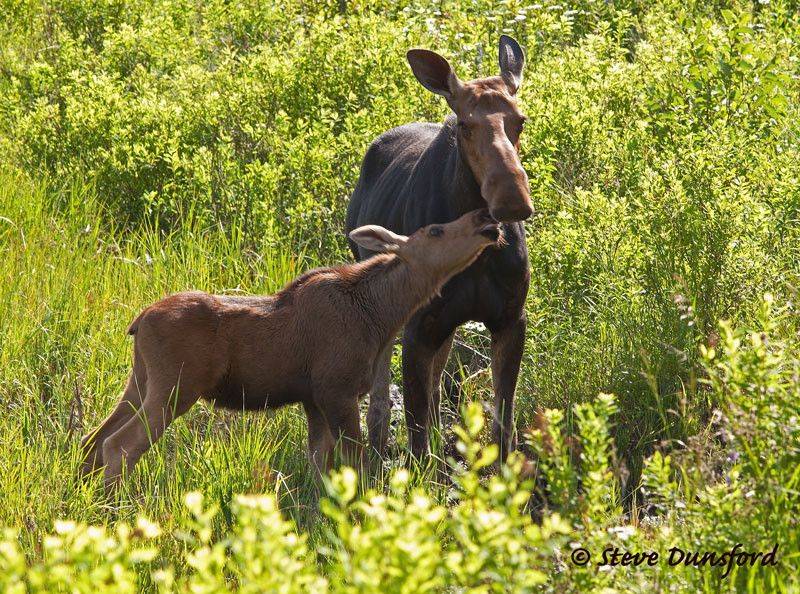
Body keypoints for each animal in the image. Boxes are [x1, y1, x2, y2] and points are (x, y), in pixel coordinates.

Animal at [81, 208, 500, 486]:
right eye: (436, 230)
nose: (485, 218)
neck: (381, 315)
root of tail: (138, 321)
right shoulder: (336, 390)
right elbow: (356, 464)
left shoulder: (313, 400)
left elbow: (320, 466)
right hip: (175, 387)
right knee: (120, 445)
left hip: (141, 381)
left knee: (93, 438)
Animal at [344, 37, 532, 460]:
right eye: (464, 124)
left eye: (520, 120)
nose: (512, 200)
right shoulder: (418, 329)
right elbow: (416, 437)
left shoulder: (510, 319)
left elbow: (504, 425)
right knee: (381, 398)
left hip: (446, 325)